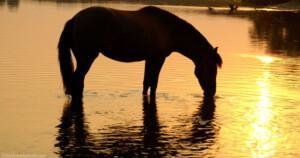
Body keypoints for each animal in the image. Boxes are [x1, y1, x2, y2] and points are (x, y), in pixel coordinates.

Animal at [58, 6, 223, 100]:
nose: (212, 92)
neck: (168, 29)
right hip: (86, 58)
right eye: (211, 69)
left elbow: (146, 83)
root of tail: (75, 19)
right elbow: (154, 83)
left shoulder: (150, 59)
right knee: (77, 81)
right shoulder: (158, 58)